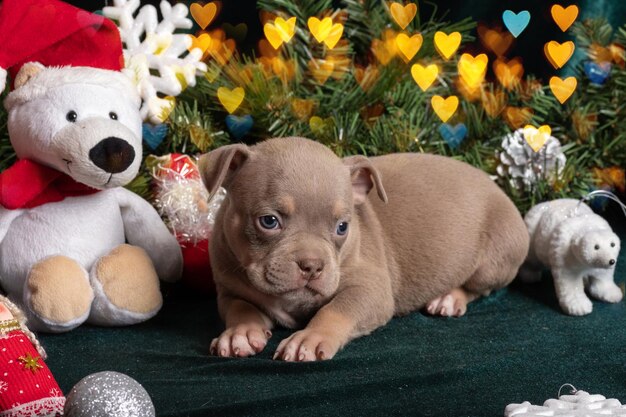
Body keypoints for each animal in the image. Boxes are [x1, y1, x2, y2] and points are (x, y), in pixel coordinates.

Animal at [199, 136, 528, 360]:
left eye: (342, 227)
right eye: (269, 221)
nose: (312, 265)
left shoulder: (370, 288)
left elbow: (336, 308)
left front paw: (310, 338)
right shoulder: (229, 290)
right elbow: (240, 307)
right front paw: (239, 333)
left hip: (495, 258)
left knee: (479, 287)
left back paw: (448, 298)